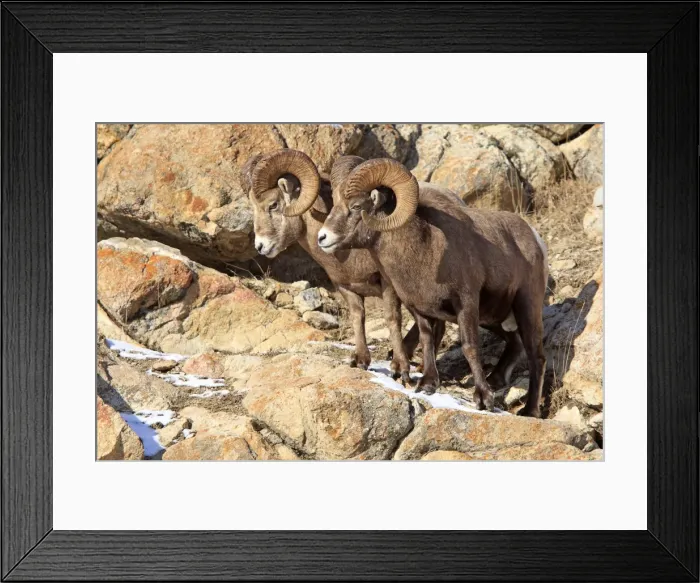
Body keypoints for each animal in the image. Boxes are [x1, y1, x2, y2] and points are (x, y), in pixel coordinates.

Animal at [242, 149, 415, 380]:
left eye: (273, 205)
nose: (261, 246)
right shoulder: (346, 287)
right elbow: (357, 317)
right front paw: (361, 361)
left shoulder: (389, 286)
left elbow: (392, 318)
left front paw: (400, 368)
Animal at [317, 157, 548, 417]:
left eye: (356, 206)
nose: (322, 237)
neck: (425, 249)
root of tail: (535, 238)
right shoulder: (420, 310)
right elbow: (427, 342)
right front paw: (427, 385)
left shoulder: (466, 304)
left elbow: (469, 347)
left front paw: (483, 399)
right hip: (493, 318)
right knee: (515, 343)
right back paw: (496, 380)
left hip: (526, 307)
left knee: (537, 356)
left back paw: (529, 411)